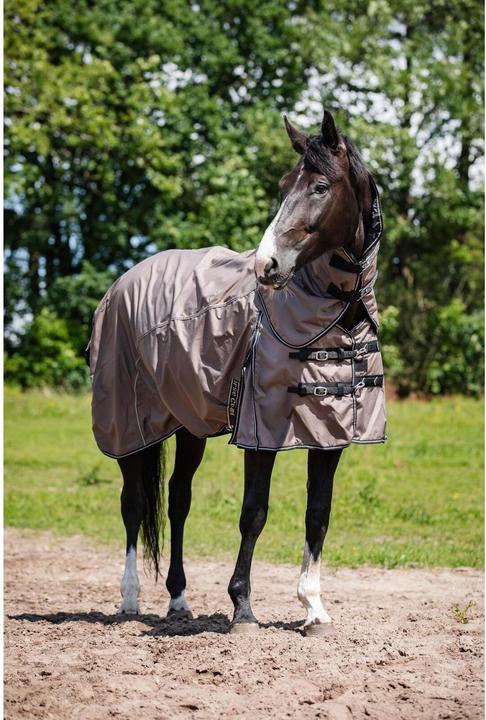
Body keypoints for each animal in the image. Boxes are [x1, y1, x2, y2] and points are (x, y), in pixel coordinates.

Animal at [88, 109, 385, 636]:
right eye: (284, 184)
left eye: (320, 186)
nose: (268, 265)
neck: (334, 315)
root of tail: (125, 280)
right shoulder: (259, 431)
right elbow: (254, 513)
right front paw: (243, 608)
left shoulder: (330, 435)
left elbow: (318, 514)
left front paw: (313, 608)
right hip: (127, 428)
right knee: (134, 503)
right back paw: (130, 599)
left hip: (187, 424)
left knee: (178, 499)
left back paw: (179, 600)